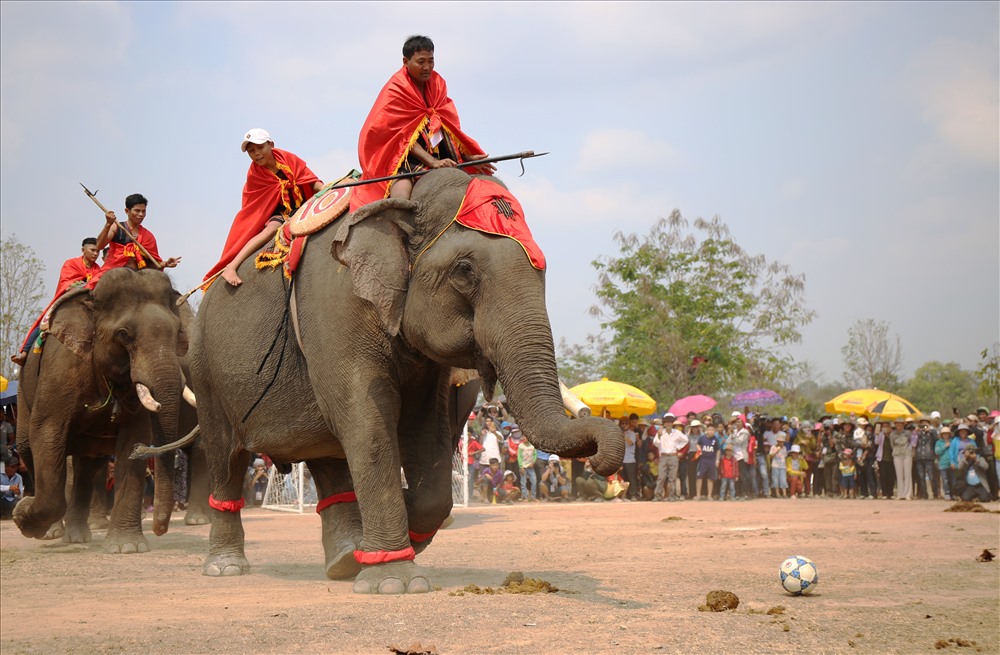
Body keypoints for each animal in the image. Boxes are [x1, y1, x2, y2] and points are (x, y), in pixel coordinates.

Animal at [14, 268, 192, 552]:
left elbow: (134, 439)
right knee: (28, 447)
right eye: (124, 335)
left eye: (177, 334)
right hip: (23, 390)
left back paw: (76, 536)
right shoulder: (60, 367)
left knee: (87, 466)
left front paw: (127, 547)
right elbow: (46, 431)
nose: (159, 528)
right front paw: (22, 515)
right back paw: (52, 533)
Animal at [190, 168, 620, 596]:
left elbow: (425, 428)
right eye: (465, 270)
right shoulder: (334, 305)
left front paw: (404, 532)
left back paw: (346, 559)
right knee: (225, 456)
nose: (599, 444)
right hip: (205, 369)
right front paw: (393, 581)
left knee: (327, 458)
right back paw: (226, 567)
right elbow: (366, 423)